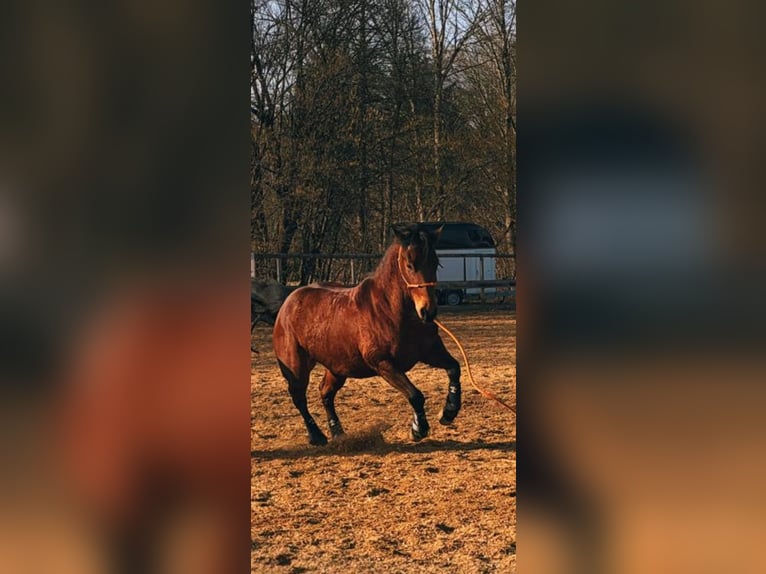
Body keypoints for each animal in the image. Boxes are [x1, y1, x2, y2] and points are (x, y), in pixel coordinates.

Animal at [272, 223, 462, 446]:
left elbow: (454, 368)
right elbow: (415, 395)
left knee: (325, 392)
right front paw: (418, 429)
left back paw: (338, 432)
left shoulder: (430, 351)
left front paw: (449, 411)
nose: (428, 311)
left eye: (436, 263)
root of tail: (288, 302)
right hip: (296, 366)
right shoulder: (382, 363)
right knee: (299, 397)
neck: (392, 311)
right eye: (409, 265)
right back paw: (316, 435)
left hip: (337, 367)